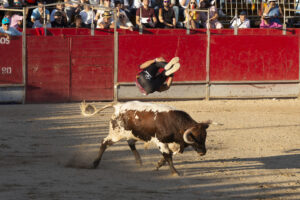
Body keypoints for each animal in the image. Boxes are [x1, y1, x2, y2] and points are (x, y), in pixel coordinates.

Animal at [79, 101, 220, 175]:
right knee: (104, 143)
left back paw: (139, 162)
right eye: (194, 137)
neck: (176, 124)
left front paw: (158, 165)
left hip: (133, 134)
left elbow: (167, 156)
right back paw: (95, 163)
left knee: (131, 143)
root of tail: (118, 106)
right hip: (116, 134)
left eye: (204, 136)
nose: (203, 152)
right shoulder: (161, 142)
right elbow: (168, 156)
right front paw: (175, 172)